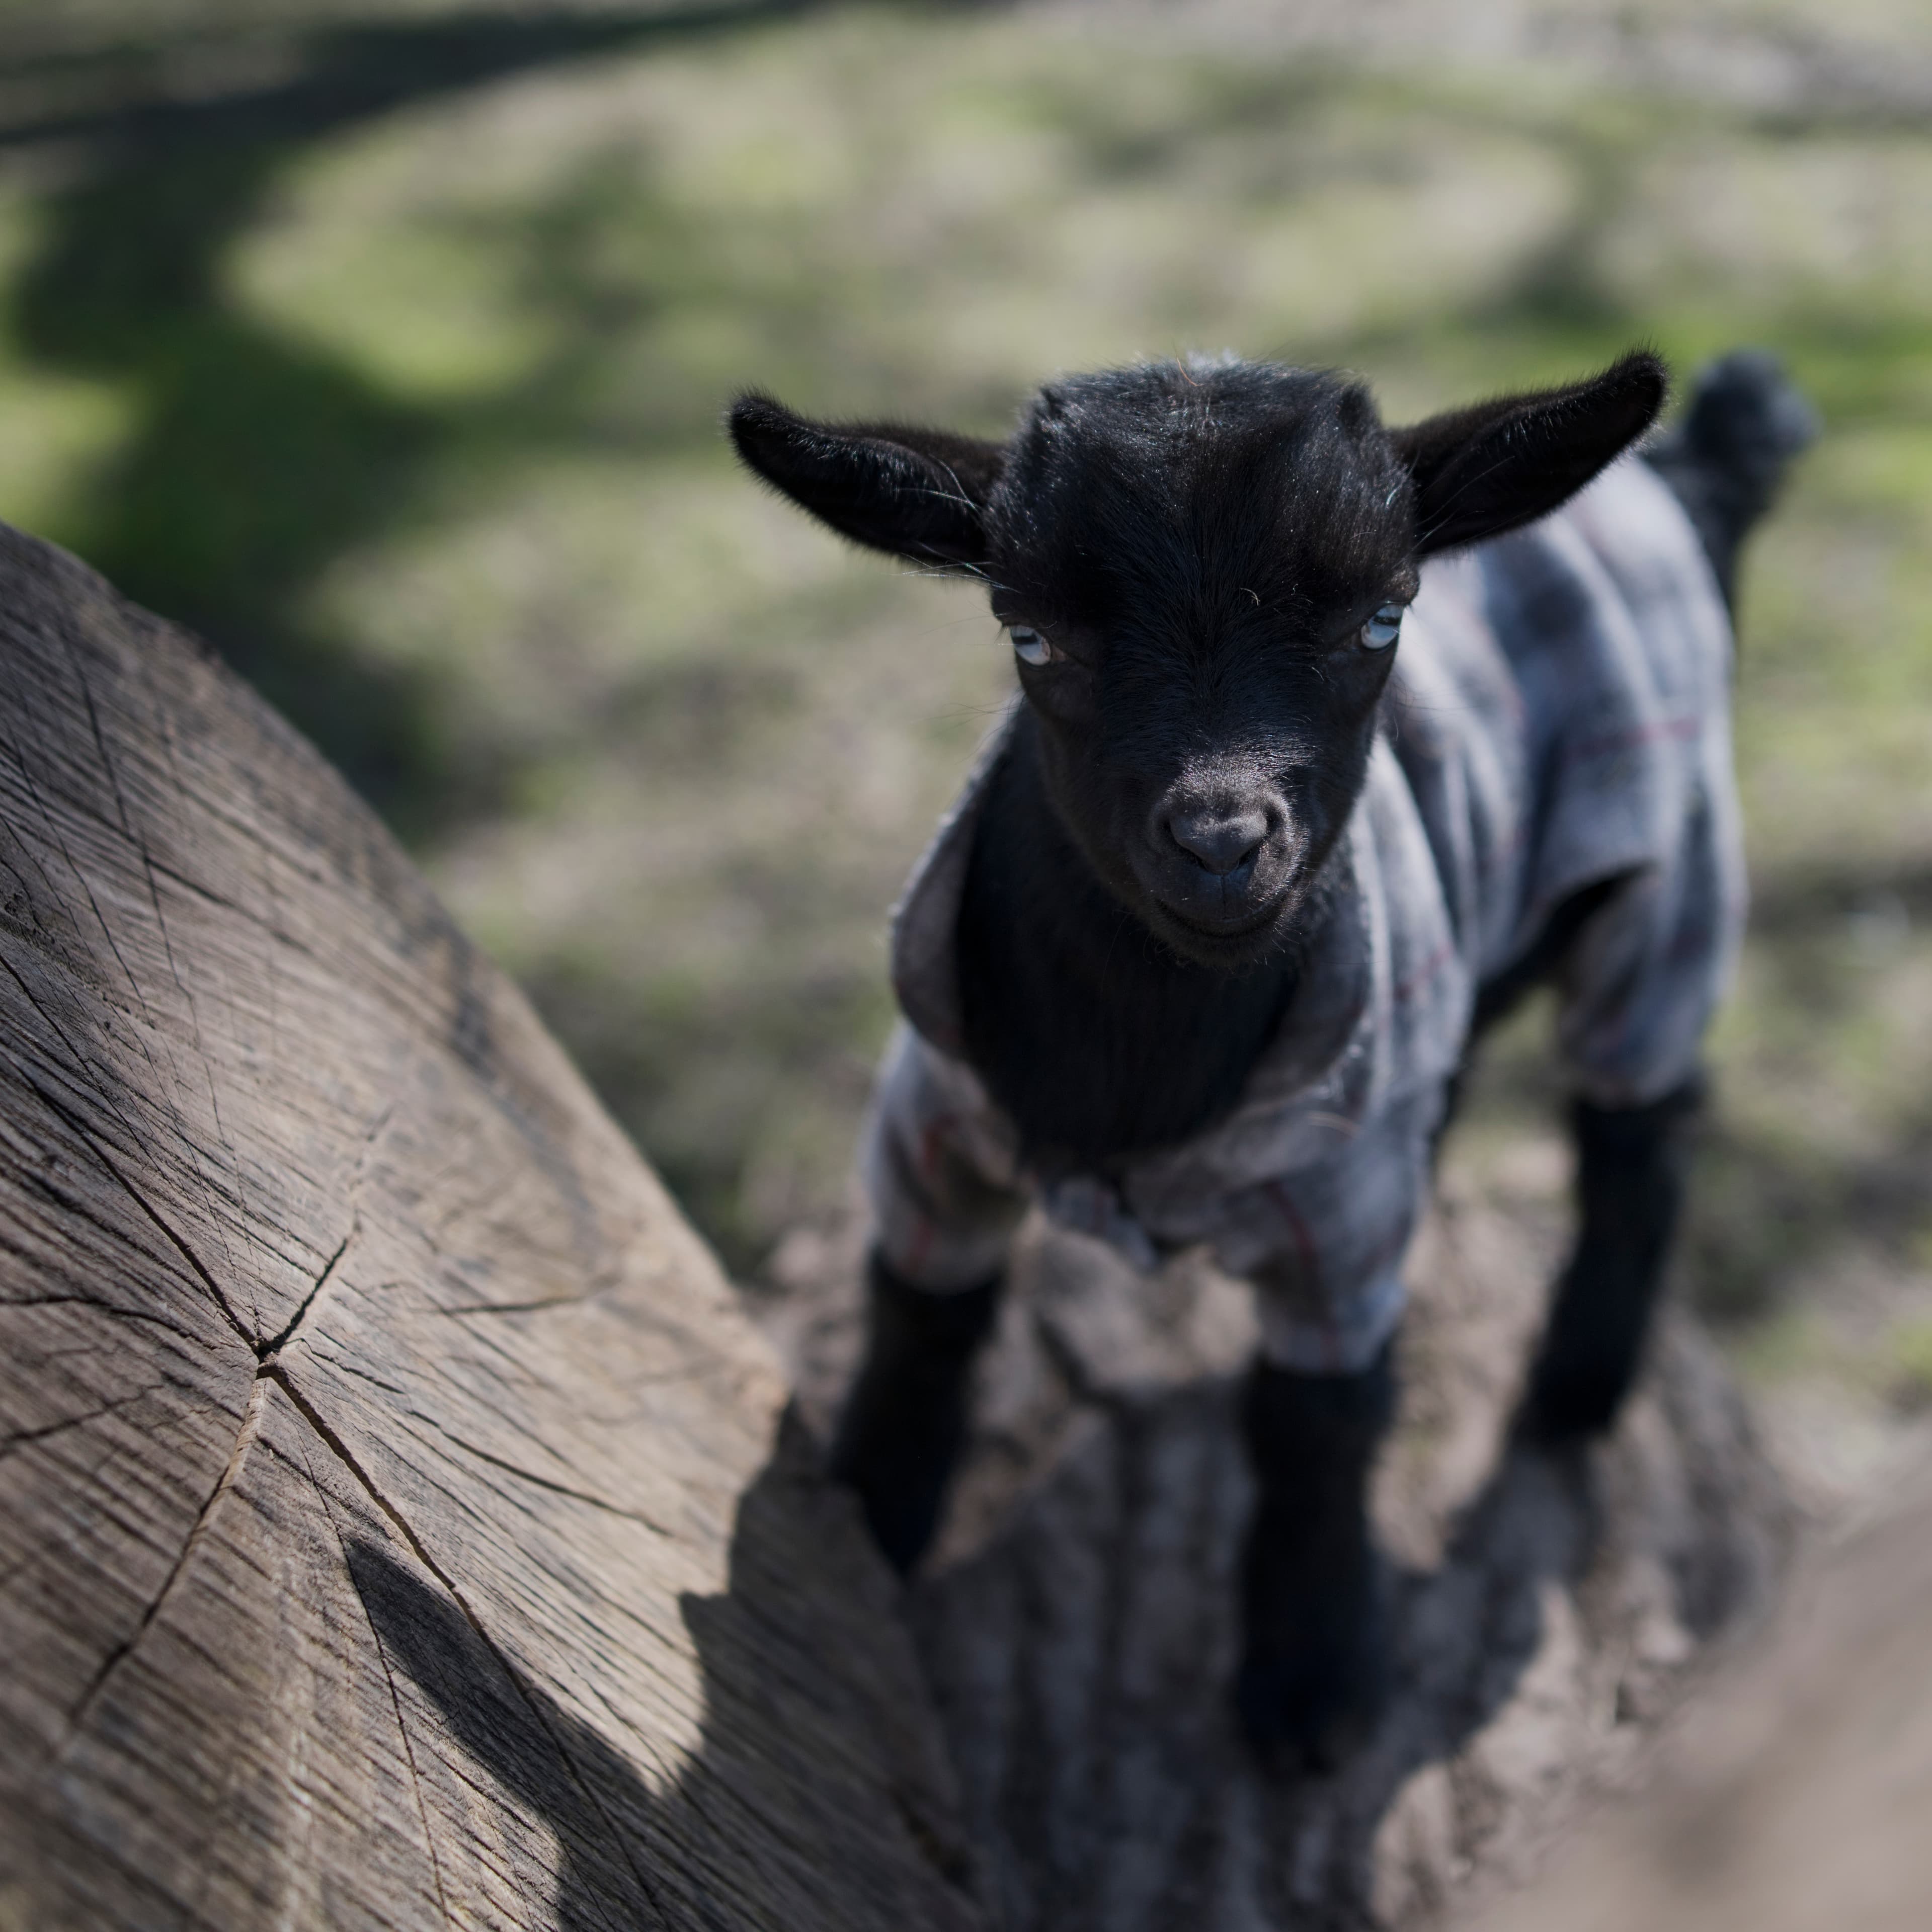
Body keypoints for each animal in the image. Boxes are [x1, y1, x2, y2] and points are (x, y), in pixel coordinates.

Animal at [729, 347, 1812, 1770]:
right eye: (1030, 636)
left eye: (1382, 623)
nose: (1221, 840)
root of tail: (1681, 470)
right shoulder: (935, 1132)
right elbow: (920, 1323)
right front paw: (863, 1525)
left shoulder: (1332, 1229)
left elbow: (1317, 1432)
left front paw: (1307, 1681)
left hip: (1662, 875)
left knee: (1644, 1121)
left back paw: (1576, 1387)